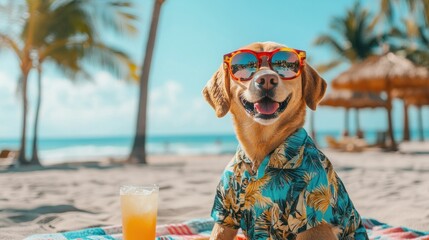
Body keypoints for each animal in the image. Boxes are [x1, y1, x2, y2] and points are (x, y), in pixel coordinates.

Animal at [202, 42, 366, 239]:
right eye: (245, 66)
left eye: (287, 66)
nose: (266, 79)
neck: (259, 151)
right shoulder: (224, 212)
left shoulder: (311, 215)